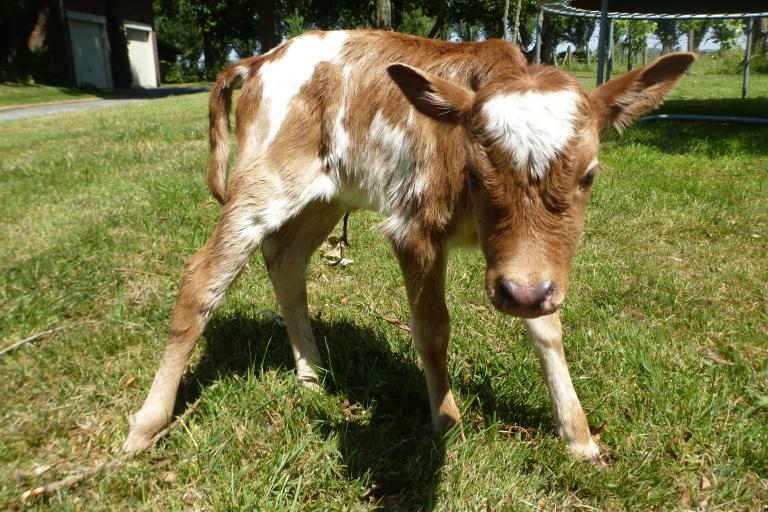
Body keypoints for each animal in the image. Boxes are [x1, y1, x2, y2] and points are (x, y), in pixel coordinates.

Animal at [124, 31, 688, 464]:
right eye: (478, 176)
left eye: (589, 175)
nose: (522, 294)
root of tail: (262, 59)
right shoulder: (414, 224)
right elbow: (432, 329)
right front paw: (446, 422)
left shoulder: (530, 269)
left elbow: (547, 326)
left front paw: (578, 434)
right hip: (264, 178)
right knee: (202, 276)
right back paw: (147, 424)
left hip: (329, 191)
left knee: (286, 259)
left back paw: (311, 374)